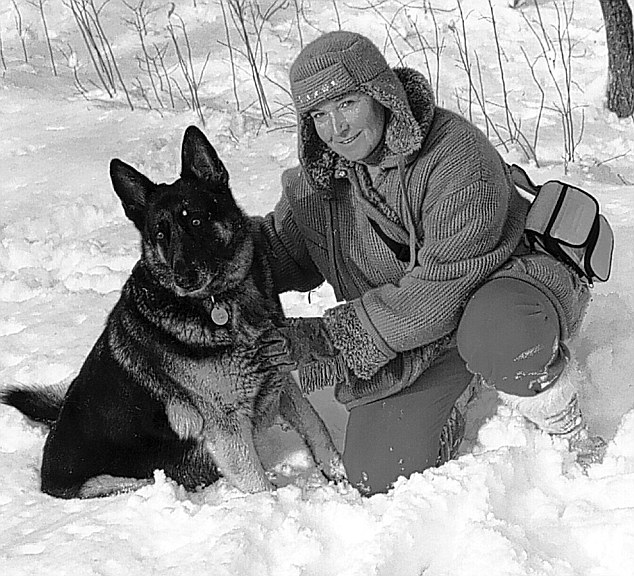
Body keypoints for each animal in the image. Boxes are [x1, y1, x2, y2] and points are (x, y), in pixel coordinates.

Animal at [1, 126, 346, 500]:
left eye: (195, 220)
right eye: (160, 235)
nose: (184, 278)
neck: (220, 301)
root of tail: (46, 476)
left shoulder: (280, 377)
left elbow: (316, 426)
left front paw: (340, 475)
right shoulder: (228, 427)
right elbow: (259, 487)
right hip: (126, 483)